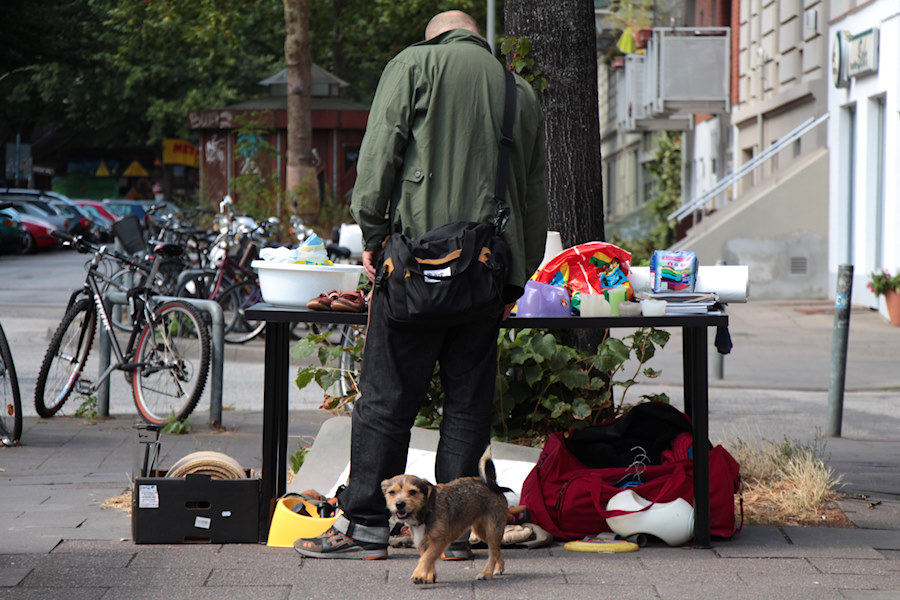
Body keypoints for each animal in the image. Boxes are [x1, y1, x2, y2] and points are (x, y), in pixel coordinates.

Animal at [378, 448, 510, 584]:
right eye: (391, 492)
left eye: (413, 492)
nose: (399, 504)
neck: (426, 511)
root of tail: (492, 483)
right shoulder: (422, 542)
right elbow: (427, 557)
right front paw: (429, 575)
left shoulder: (440, 540)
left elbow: (427, 557)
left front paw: (418, 574)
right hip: (481, 532)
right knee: (497, 549)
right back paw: (499, 568)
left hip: (492, 530)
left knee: (493, 553)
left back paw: (486, 573)